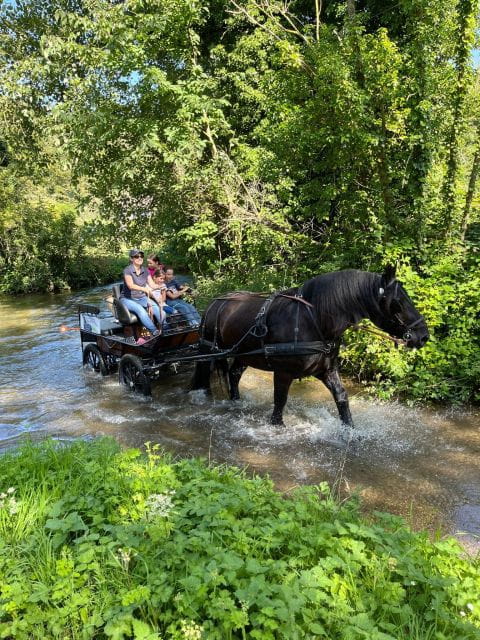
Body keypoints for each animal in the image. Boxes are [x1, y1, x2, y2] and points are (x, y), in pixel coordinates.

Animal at [191, 266, 429, 428]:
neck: (314, 320)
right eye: (397, 302)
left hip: (243, 355)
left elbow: (342, 397)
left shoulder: (327, 369)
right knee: (205, 374)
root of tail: (215, 301)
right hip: (209, 350)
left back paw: (236, 402)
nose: (423, 336)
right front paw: (277, 426)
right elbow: (280, 400)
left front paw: (349, 428)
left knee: (234, 374)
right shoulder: (283, 372)